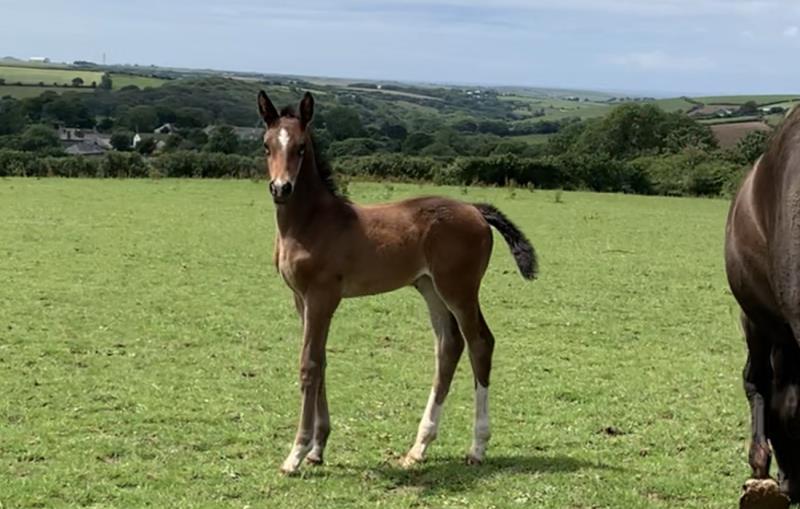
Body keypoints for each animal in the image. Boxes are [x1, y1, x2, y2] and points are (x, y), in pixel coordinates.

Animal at [260, 90, 536, 472]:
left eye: (301, 147)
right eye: (267, 145)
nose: (281, 188)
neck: (311, 222)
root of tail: (476, 211)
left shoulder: (321, 297)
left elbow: (309, 365)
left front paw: (297, 453)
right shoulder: (301, 299)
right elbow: (321, 361)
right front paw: (318, 447)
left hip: (459, 289)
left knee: (480, 342)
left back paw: (477, 447)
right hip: (430, 288)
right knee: (449, 345)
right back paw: (419, 446)